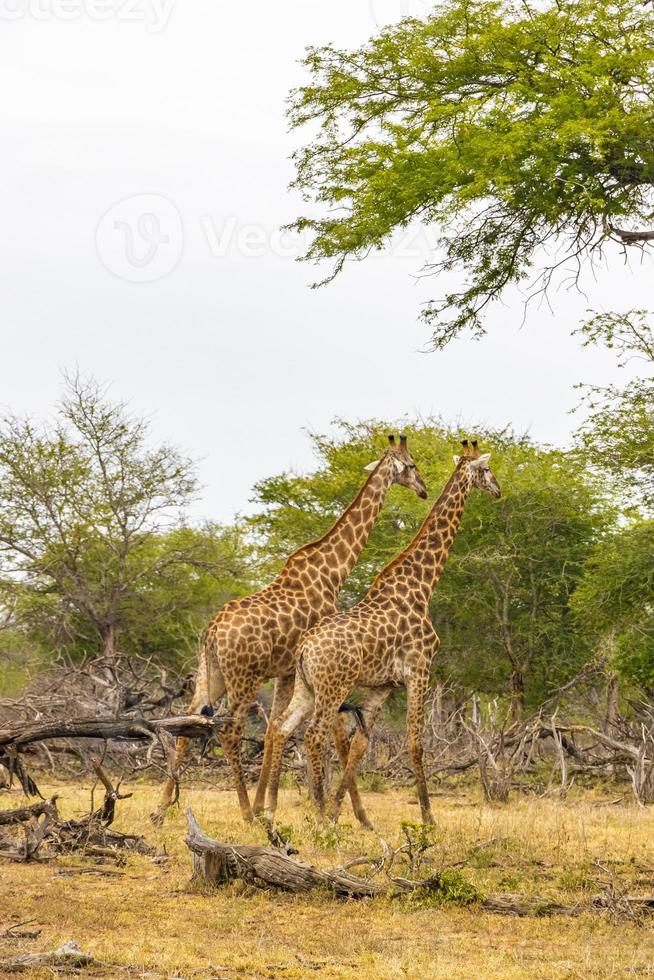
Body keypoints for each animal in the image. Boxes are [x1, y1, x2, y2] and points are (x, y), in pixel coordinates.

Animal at [153, 432, 430, 824]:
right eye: (411, 465)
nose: (423, 489)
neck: (333, 571)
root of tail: (212, 631)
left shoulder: (287, 673)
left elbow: (275, 730)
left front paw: (270, 805)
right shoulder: (320, 673)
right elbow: (331, 736)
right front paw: (348, 814)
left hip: (211, 672)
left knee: (188, 724)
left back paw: (161, 810)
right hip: (245, 677)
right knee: (230, 729)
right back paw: (244, 812)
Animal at [262, 440, 502, 832]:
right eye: (485, 469)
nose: (498, 489)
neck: (422, 585)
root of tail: (305, 649)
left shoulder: (383, 685)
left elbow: (360, 746)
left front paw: (345, 813)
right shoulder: (419, 670)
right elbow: (415, 743)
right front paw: (428, 818)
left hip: (306, 687)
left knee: (282, 728)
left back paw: (280, 813)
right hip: (333, 688)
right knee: (313, 735)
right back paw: (315, 813)